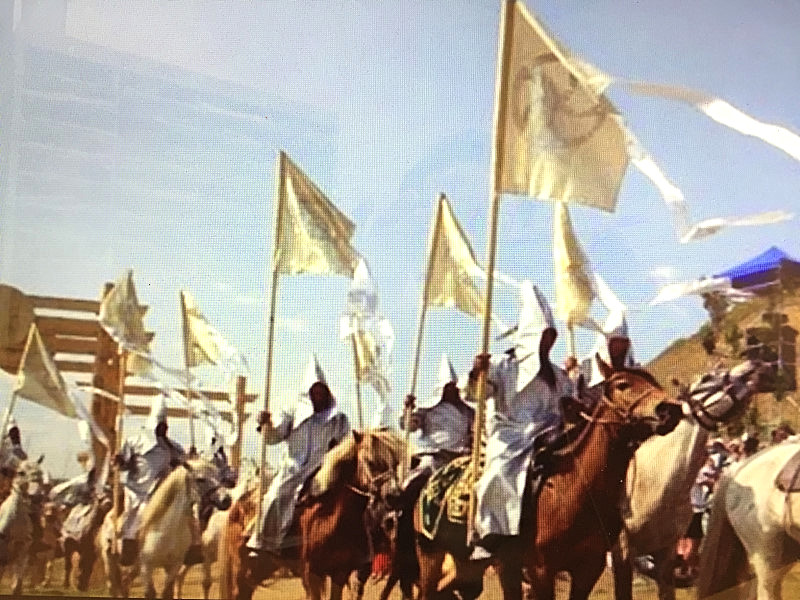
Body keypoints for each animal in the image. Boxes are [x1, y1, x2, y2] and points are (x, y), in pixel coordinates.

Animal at [234, 428, 406, 600]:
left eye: (396, 462)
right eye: (370, 461)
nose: (395, 495)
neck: (332, 520)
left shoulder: (340, 573)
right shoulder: (312, 575)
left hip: (264, 565)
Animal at [413, 353, 683, 600]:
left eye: (653, 381)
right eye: (623, 384)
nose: (670, 409)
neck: (572, 489)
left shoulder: (588, 569)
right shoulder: (540, 570)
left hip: (467, 566)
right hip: (430, 555)